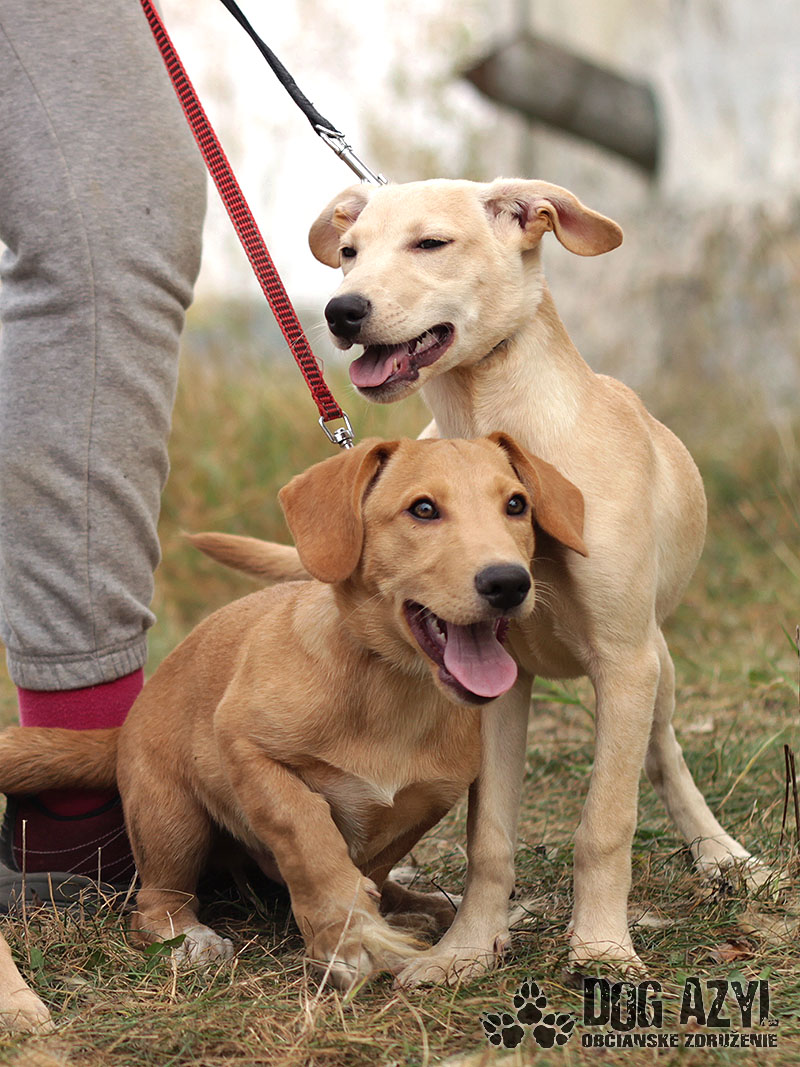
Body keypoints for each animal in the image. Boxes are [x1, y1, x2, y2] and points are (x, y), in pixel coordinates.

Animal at [0, 434, 586, 991]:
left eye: (517, 505)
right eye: (423, 509)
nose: (509, 582)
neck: (389, 686)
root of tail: (124, 728)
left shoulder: (426, 801)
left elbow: (369, 863)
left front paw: (366, 920)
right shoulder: (244, 749)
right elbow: (307, 831)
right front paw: (348, 934)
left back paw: (419, 907)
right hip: (171, 817)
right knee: (154, 903)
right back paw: (188, 937)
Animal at [294, 177, 767, 984]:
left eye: (431, 243)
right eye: (349, 252)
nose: (341, 311)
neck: (496, 425)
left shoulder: (624, 659)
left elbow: (606, 823)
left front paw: (603, 946)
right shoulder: (490, 675)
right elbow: (488, 836)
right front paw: (465, 948)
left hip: (657, 665)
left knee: (664, 755)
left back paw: (718, 852)